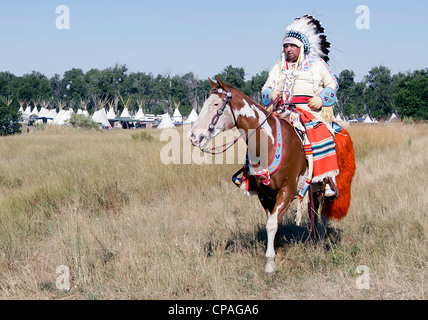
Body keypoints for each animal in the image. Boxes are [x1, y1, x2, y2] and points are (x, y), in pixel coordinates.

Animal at [189, 77, 356, 276]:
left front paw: (269, 264)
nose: (194, 136)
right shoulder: (265, 195)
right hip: (314, 188)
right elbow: (272, 222)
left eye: (215, 104)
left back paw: (320, 242)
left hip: (329, 184)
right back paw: (314, 239)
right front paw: (278, 254)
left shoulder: (287, 191)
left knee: (324, 213)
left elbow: (271, 224)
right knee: (314, 211)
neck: (269, 143)